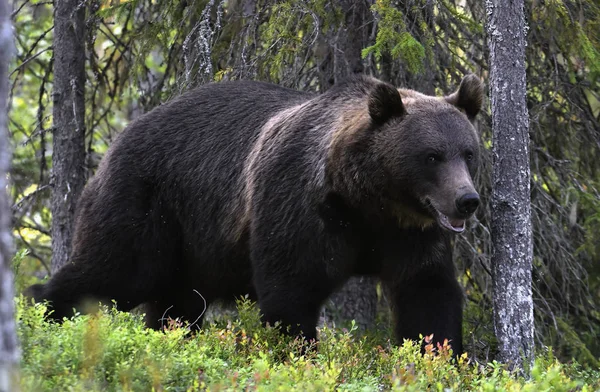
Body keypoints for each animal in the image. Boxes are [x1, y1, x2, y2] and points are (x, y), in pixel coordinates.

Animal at [27, 72, 482, 356]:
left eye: (468, 152)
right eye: (431, 155)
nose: (467, 200)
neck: (365, 200)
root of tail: (115, 143)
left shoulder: (410, 233)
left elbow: (427, 293)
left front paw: (436, 357)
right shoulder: (297, 205)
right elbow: (291, 292)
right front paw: (297, 355)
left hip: (192, 248)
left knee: (176, 307)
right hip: (148, 203)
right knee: (114, 269)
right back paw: (43, 314)